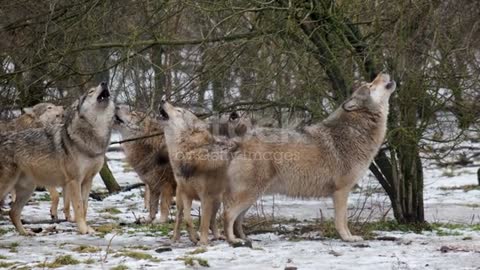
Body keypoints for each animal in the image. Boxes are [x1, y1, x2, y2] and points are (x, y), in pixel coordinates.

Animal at [0, 83, 115, 235]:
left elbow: (84, 207)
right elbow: (78, 207)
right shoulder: (74, 181)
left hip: (28, 189)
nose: (104, 82)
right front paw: (83, 229)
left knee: (13, 213)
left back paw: (26, 233)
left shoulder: (87, 181)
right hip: (9, 186)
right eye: (90, 91)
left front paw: (87, 228)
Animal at [225, 73, 398, 244]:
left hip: (253, 196)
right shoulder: (341, 191)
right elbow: (341, 220)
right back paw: (233, 240)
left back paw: (244, 238)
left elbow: (344, 220)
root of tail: (241, 140)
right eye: (370, 85)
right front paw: (347, 238)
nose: (383, 72)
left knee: (237, 219)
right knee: (227, 214)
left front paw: (349, 236)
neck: (356, 130)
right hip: (251, 194)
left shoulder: (344, 191)